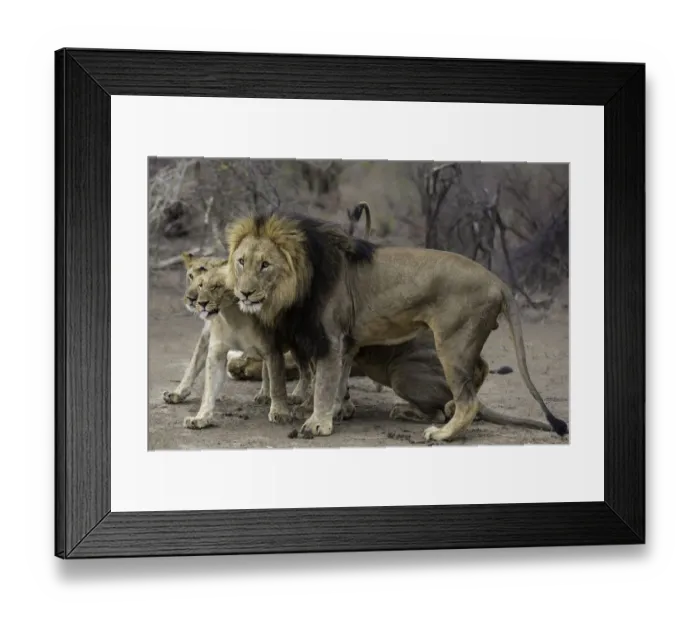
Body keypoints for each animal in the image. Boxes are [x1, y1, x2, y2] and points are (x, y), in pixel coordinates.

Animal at [224, 212, 569, 442]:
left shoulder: (331, 339)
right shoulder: (347, 342)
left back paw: (441, 434)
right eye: (241, 261)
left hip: (451, 346)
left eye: (265, 265)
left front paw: (317, 424)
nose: (244, 293)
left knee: (466, 402)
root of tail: (498, 281)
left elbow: (323, 383)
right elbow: (338, 381)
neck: (297, 283)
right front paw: (336, 412)